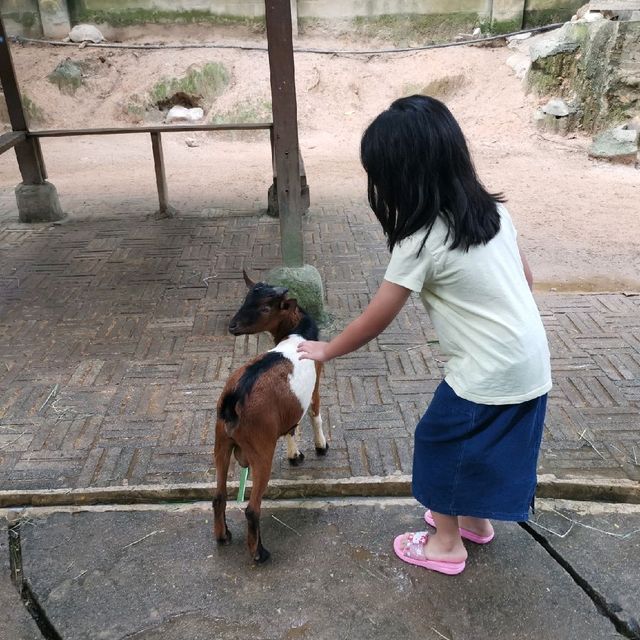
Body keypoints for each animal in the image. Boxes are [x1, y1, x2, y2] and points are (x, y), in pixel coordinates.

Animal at [214, 272, 328, 564]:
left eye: (265, 307)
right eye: (246, 299)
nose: (232, 326)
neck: (297, 334)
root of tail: (234, 399)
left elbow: (291, 427)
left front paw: (294, 455)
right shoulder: (316, 382)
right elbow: (315, 413)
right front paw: (321, 447)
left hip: (220, 443)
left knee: (219, 496)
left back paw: (223, 536)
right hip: (261, 451)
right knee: (252, 508)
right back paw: (259, 553)